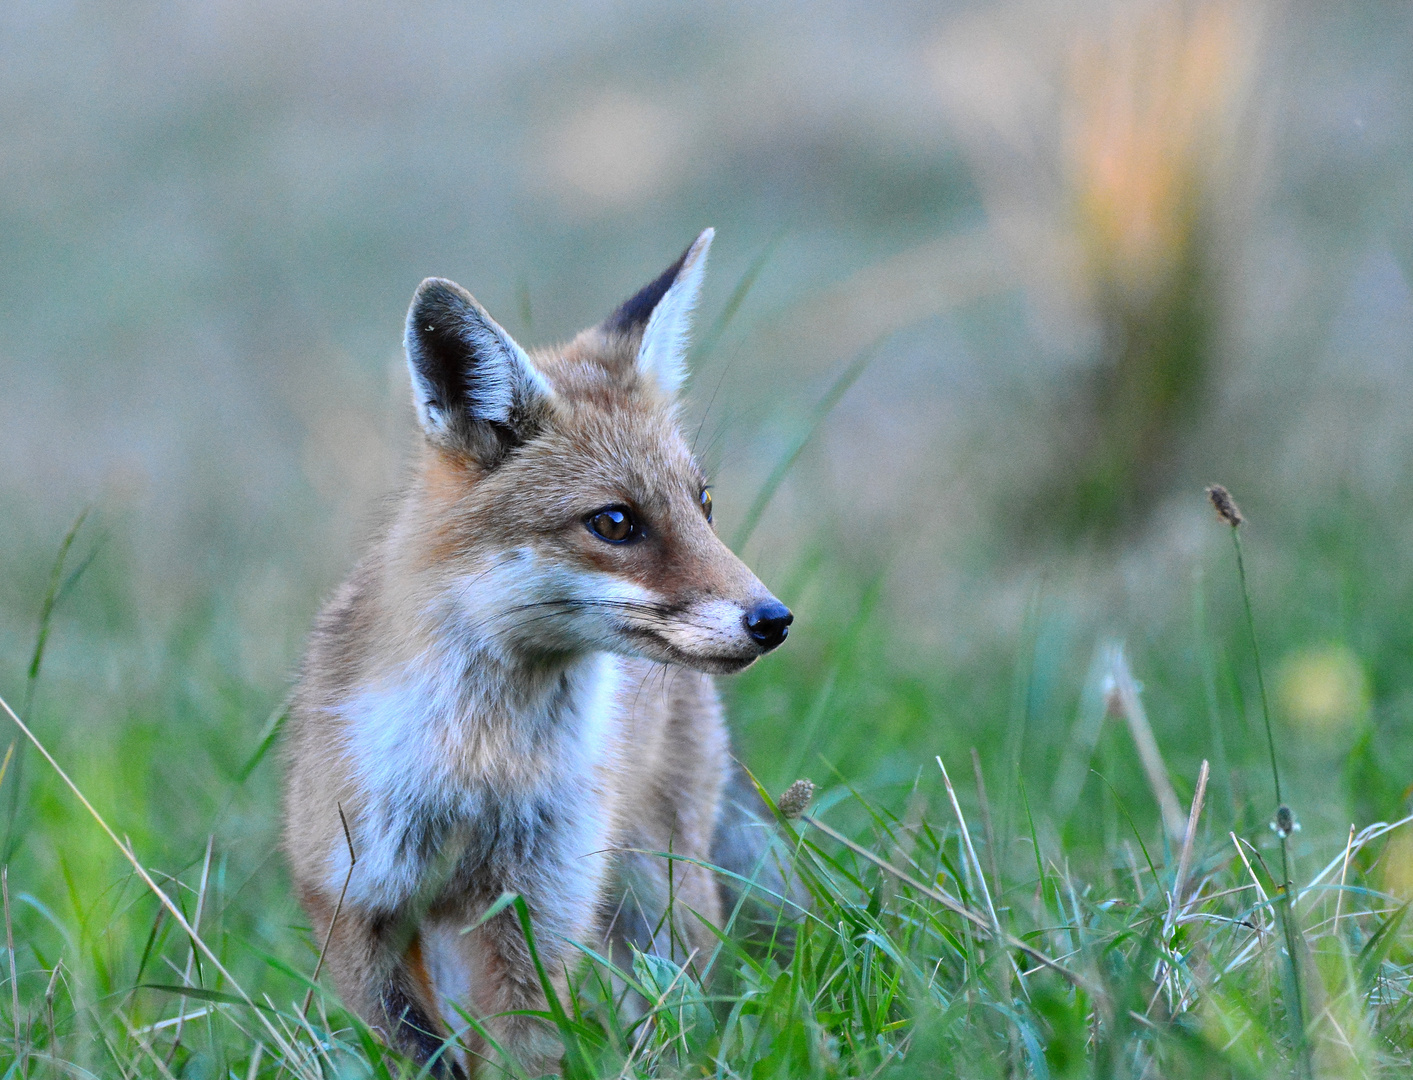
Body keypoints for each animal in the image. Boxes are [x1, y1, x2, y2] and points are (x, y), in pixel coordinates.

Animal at [281, 226, 802, 1074]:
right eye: (616, 523)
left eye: (704, 505)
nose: (774, 619)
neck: (479, 769)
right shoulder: (354, 903)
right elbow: (417, 1053)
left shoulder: (535, 909)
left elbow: (521, 1047)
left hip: (656, 891)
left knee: (681, 1003)